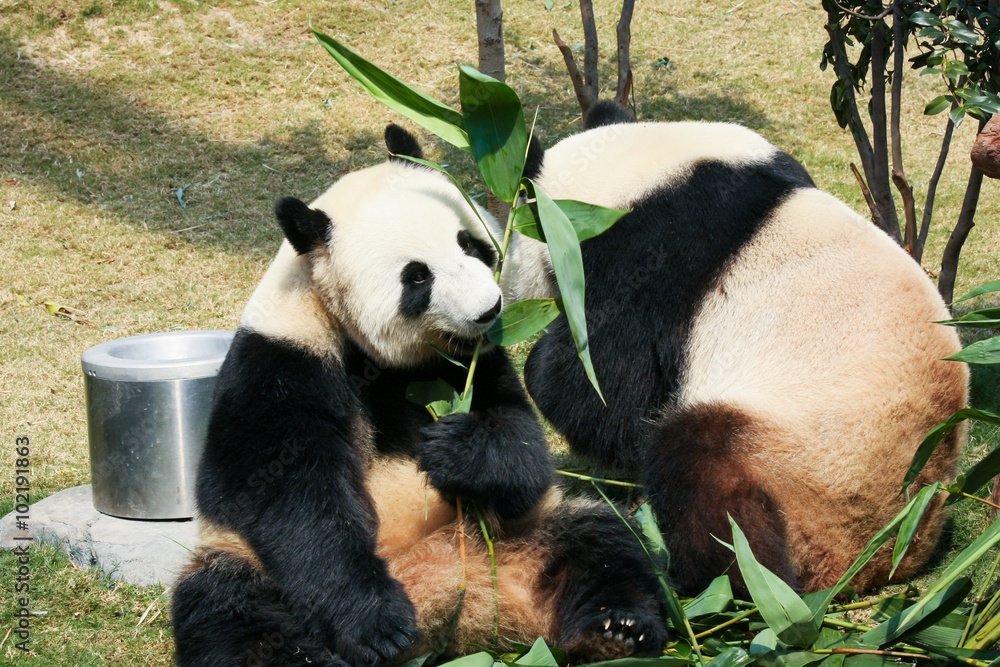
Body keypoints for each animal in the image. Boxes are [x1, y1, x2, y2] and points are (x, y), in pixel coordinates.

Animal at [170, 126, 672, 667]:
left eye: (470, 244)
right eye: (417, 276)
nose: (489, 309)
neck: (372, 354)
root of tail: (453, 598)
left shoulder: (470, 365)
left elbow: (523, 449)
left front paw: (457, 449)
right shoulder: (282, 363)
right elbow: (286, 497)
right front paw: (376, 621)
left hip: (528, 528)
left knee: (604, 544)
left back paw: (616, 630)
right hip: (245, 563)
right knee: (234, 616)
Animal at [520, 103, 972, 596]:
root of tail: (870, 559)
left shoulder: (650, 259)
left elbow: (604, 389)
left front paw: (539, 366)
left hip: (805, 461)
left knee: (704, 475)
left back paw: (697, 575)